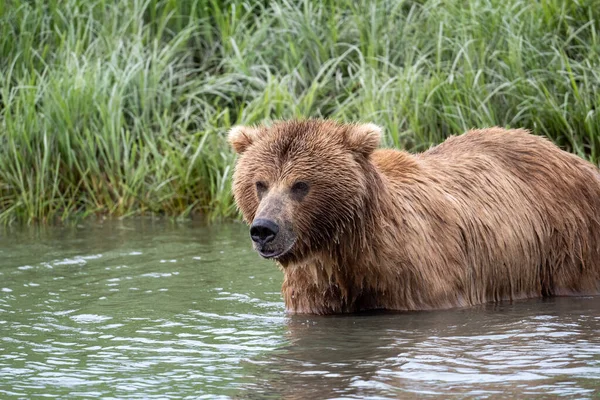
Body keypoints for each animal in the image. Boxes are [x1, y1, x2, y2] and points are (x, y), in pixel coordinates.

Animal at [229, 120, 600, 314]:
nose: (264, 229)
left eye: (300, 185)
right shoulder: (314, 289)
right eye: (260, 184)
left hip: (569, 240)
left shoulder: (419, 280)